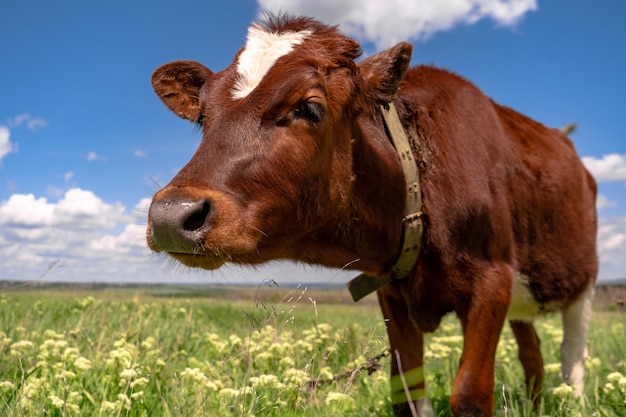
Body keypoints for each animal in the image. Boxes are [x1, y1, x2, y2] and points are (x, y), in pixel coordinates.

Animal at [146, 15, 596, 416]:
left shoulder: (493, 279)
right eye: (203, 116)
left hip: (581, 283)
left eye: (310, 108)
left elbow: (470, 394)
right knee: (533, 354)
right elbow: (409, 395)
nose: (171, 215)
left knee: (572, 356)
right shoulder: (392, 293)